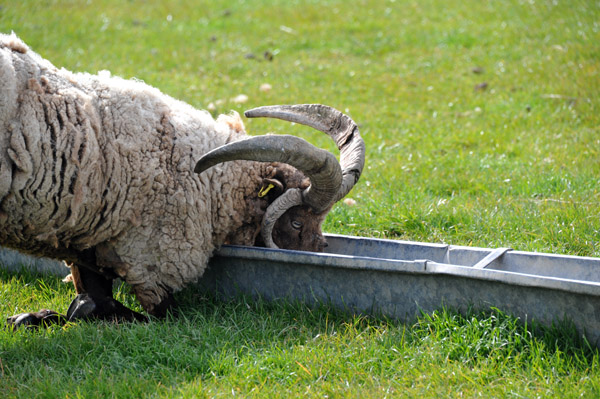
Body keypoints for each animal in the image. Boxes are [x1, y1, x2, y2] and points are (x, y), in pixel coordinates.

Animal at [1, 33, 366, 328]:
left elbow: (89, 298)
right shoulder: (152, 262)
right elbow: (124, 310)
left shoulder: (88, 239)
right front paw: (50, 315)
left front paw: (33, 317)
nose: (320, 254)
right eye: (296, 222)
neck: (210, 184)